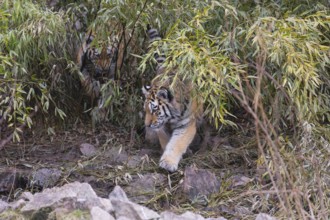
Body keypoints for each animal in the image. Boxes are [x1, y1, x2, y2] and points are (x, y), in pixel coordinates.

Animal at [142, 26, 204, 173]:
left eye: (154, 110)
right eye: (145, 110)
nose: (147, 125)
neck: (172, 116)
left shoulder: (186, 124)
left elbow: (178, 142)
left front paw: (168, 163)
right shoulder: (161, 125)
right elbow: (166, 140)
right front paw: (166, 157)